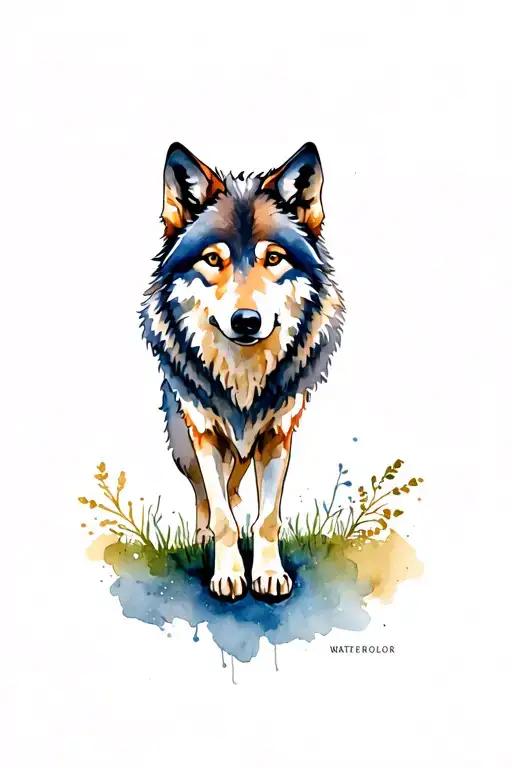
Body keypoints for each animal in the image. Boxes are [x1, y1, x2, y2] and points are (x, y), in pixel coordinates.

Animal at [141, 142, 344, 601]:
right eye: (214, 259)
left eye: (274, 258)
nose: (247, 321)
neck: (243, 379)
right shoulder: (203, 433)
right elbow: (221, 518)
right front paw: (227, 575)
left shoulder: (278, 434)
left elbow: (267, 518)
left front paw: (268, 575)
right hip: (183, 440)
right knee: (205, 493)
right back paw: (201, 536)